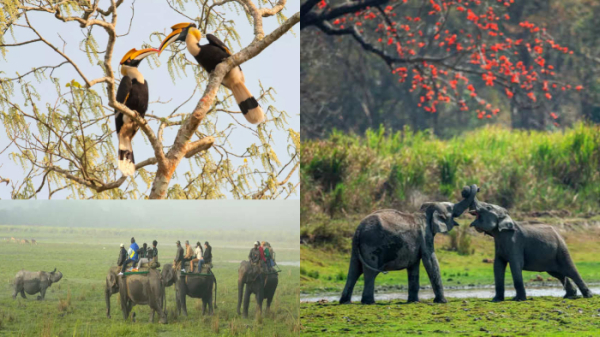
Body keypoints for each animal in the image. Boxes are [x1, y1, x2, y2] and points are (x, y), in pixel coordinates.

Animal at [340, 185, 476, 304]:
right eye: (452, 210)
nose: (466, 189)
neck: (424, 211)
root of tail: (359, 229)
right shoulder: (425, 236)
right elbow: (430, 261)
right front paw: (442, 302)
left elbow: (413, 266)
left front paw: (414, 301)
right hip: (372, 245)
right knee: (370, 272)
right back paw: (368, 302)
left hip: (357, 247)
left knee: (354, 270)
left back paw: (345, 302)